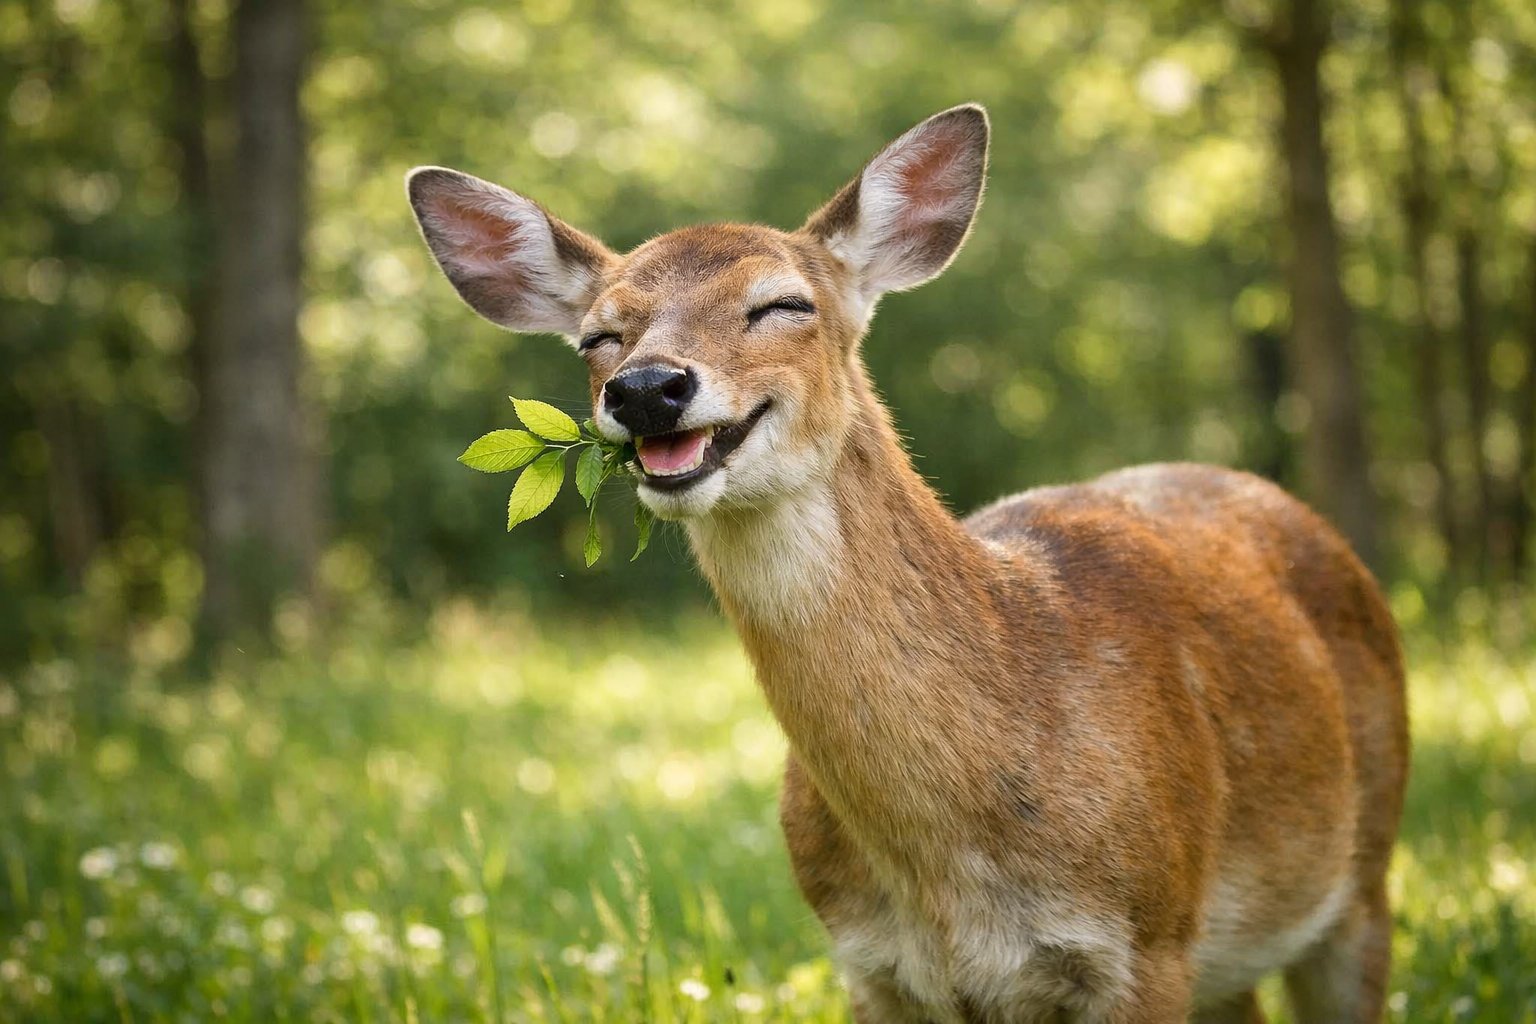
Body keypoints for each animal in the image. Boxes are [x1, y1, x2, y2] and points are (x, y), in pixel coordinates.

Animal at [406, 104, 1409, 1023]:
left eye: (784, 303)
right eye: (598, 336)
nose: (648, 387)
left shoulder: (1147, 940)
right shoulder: (871, 967)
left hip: (1363, 877)